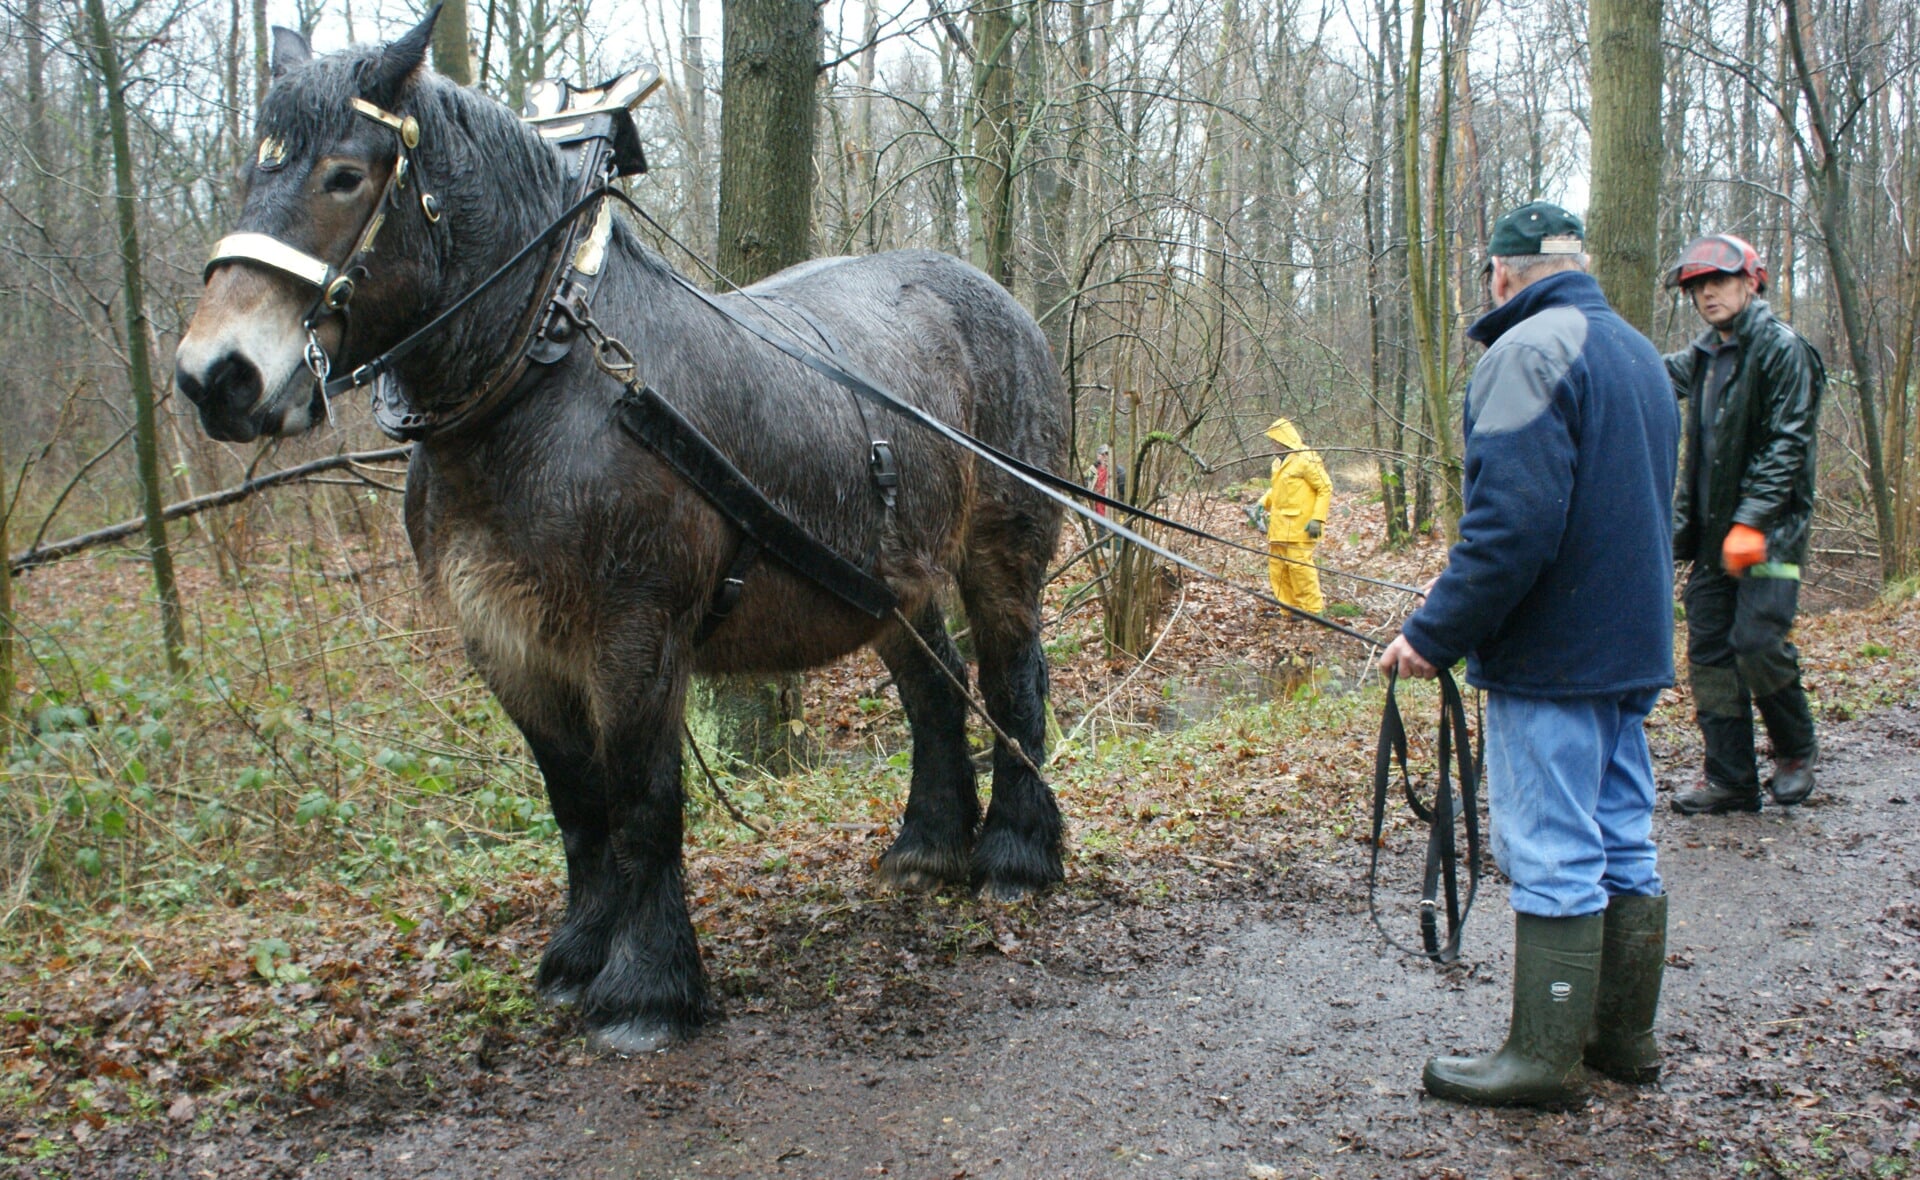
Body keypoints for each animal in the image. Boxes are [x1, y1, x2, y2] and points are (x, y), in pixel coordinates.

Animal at [172, 13, 1075, 1051]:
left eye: (345, 176)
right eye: (254, 169)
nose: (215, 376)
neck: (545, 372)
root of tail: (998, 299)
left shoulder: (636, 630)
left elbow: (642, 801)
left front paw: (647, 989)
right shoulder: (508, 639)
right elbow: (577, 804)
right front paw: (576, 957)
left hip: (1001, 548)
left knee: (1011, 679)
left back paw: (1016, 856)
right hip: (891, 587)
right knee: (935, 693)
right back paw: (929, 849)